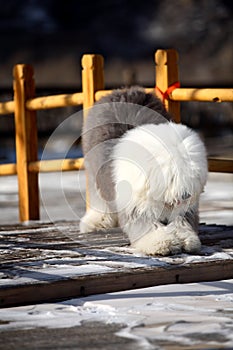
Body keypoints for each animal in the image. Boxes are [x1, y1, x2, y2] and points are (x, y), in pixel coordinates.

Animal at [80, 87, 208, 258]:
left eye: (192, 175)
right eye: (172, 176)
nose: (186, 196)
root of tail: (123, 90)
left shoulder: (184, 210)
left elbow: (182, 223)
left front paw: (186, 239)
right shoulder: (136, 207)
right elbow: (146, 226)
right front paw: (162, 243)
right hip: (95, 171)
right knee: (98, 197)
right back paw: (97, 221)